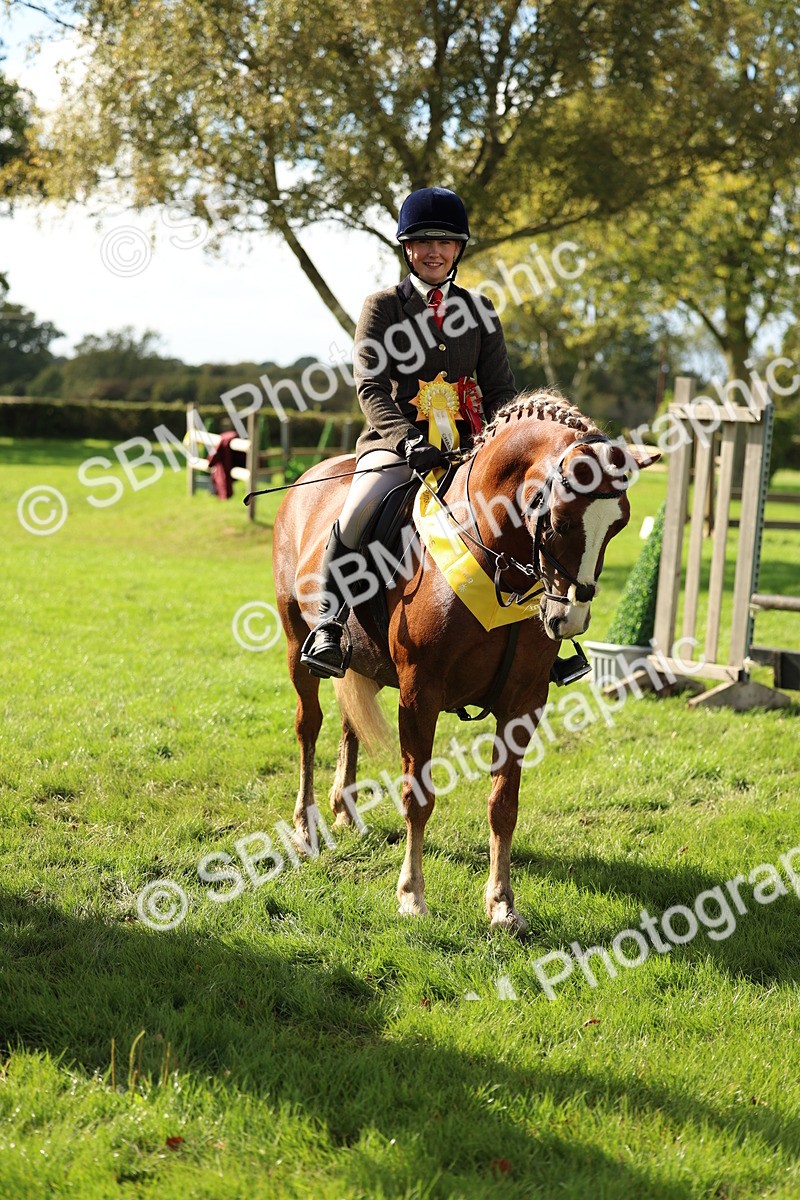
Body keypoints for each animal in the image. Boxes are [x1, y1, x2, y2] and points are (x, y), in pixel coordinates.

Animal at [272, 390, 658, 933]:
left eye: (618, 525)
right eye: (559, 521)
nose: (570, 618)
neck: (497, 559)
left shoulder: (524, 702)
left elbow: (504, 804)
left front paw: (502, 904)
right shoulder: (420, 694)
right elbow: (418, 796)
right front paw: (412, 895)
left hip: (361, 661)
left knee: (349, 722)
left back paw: (344, 812)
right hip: (295, 644)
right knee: (309, 726)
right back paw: (306, 827)